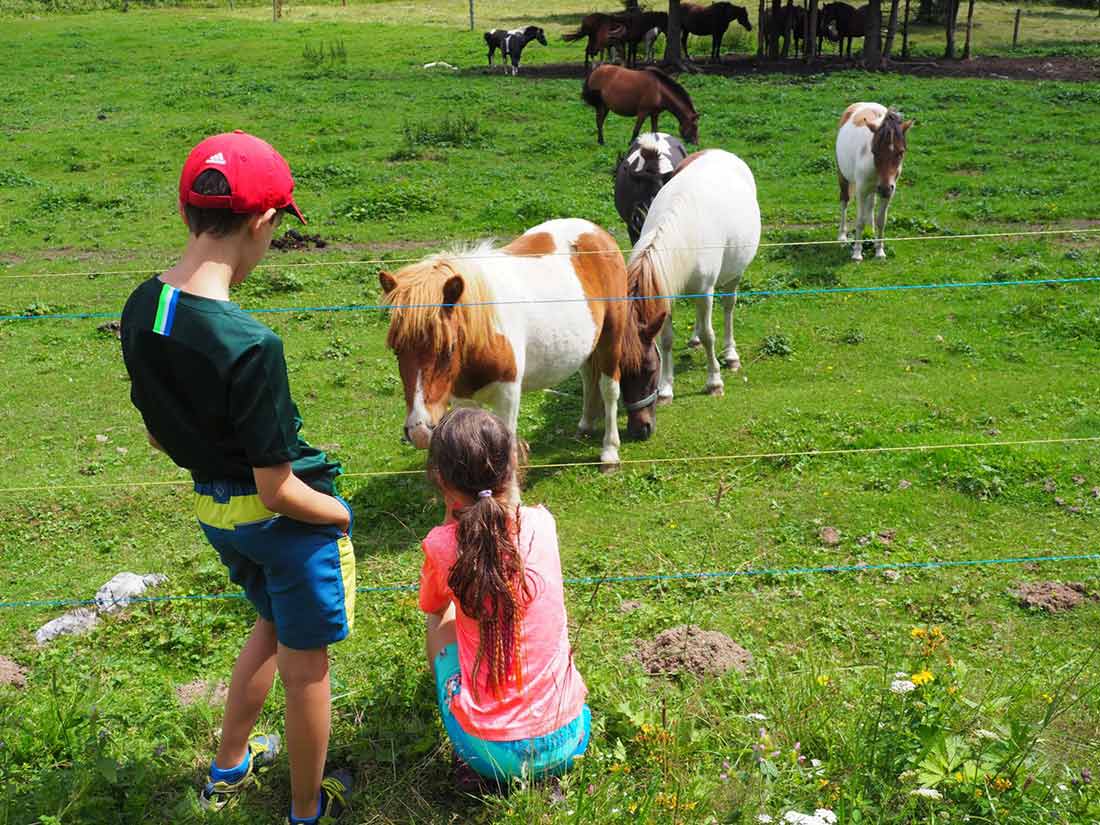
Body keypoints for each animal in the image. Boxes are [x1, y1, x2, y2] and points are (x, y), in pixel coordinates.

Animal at [378, 217, 660, 466]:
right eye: (396, 350)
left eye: (447, 348)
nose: (419, 430)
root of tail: (596, 231)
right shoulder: (462, 398)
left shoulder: (508, 395)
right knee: (588, 376)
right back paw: (586, 424)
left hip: (611, 339)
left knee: (609, 388)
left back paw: (609, 451)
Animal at [624, 150, 761, 426]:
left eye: (649, 369)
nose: (639, 426)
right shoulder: (665, 293)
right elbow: (666, 339)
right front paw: (666, 390)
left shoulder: (706, 290)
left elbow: (710, 335)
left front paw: (714, 383)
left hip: (733, 275)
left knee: (728, 308)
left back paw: (731, 355)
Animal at [836, 101, 915, 259]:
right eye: (875, 151)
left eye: (901, 152)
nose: (884, 188)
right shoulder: (861, 190)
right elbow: (860, 221)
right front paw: (857, 253)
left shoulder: (889, 192)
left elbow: (881, 220)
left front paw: (879, 251)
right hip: (844, 178)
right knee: (844, 201)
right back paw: (842, 236)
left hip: (874, 190)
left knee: (871, 205)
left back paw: (871, 232)